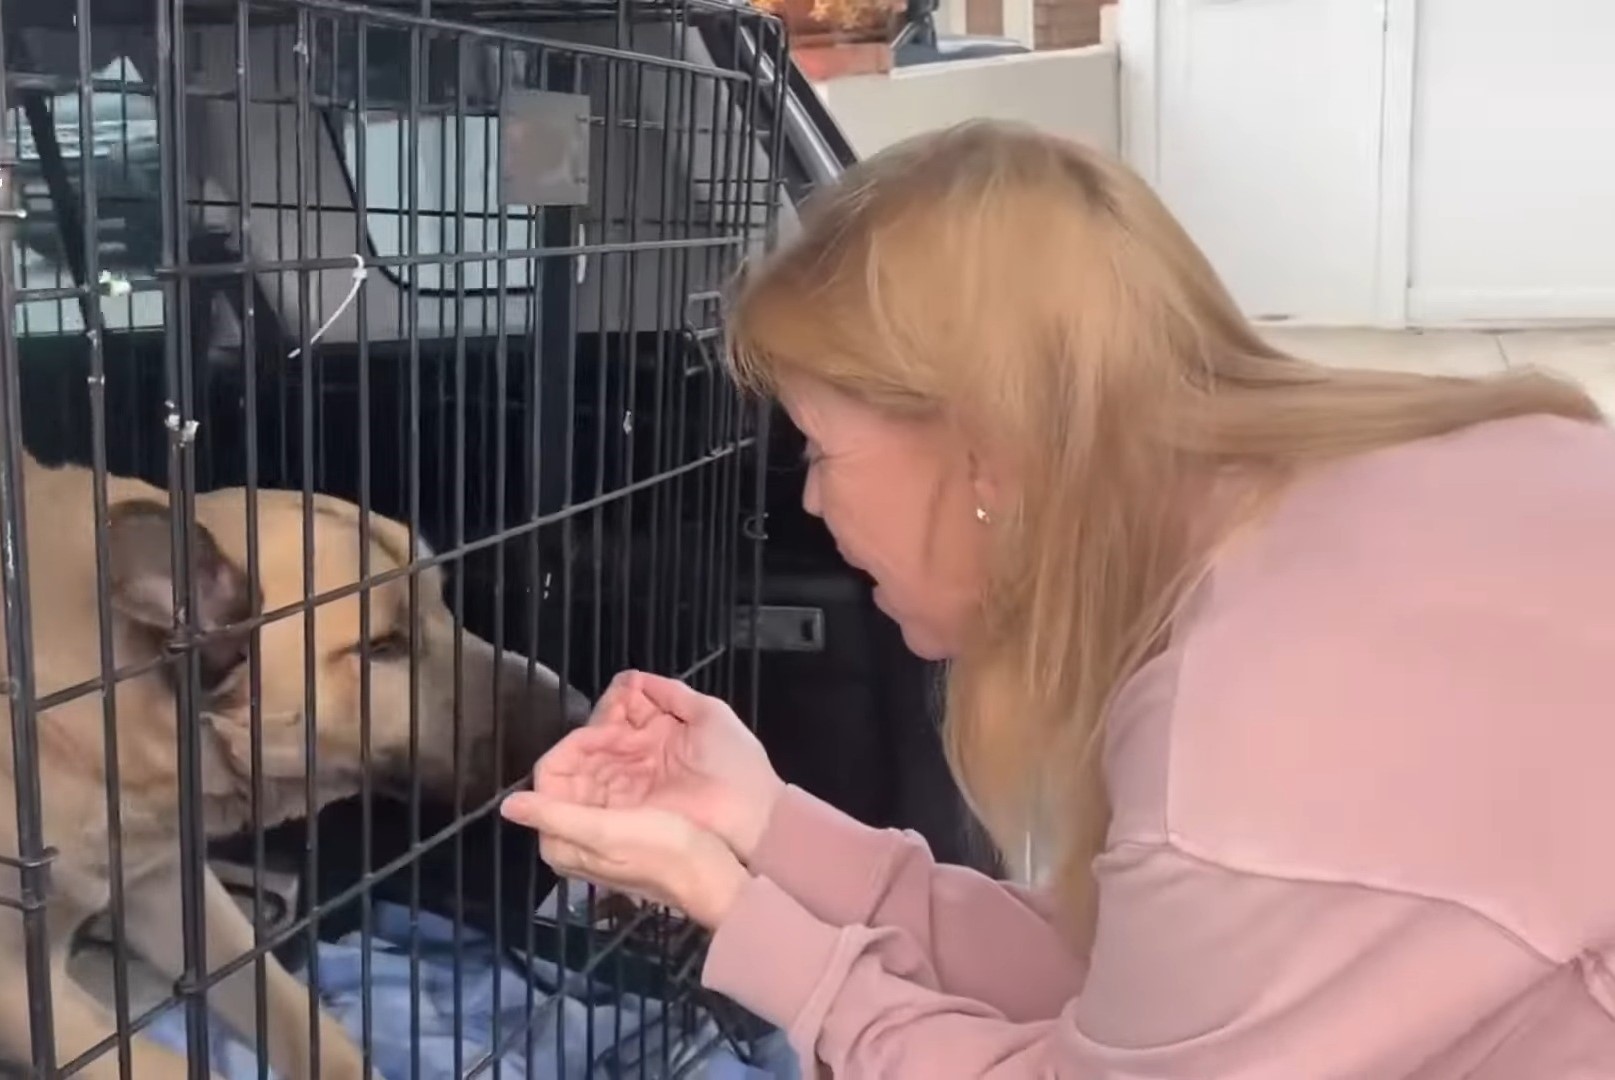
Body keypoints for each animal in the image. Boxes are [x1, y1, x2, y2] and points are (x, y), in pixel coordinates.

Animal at [0, 452, 587, 1078]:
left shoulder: (172, 888)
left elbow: (297, 1013)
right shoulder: (27, 994)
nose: (580, 713)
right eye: (382, 647)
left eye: (442, 604)